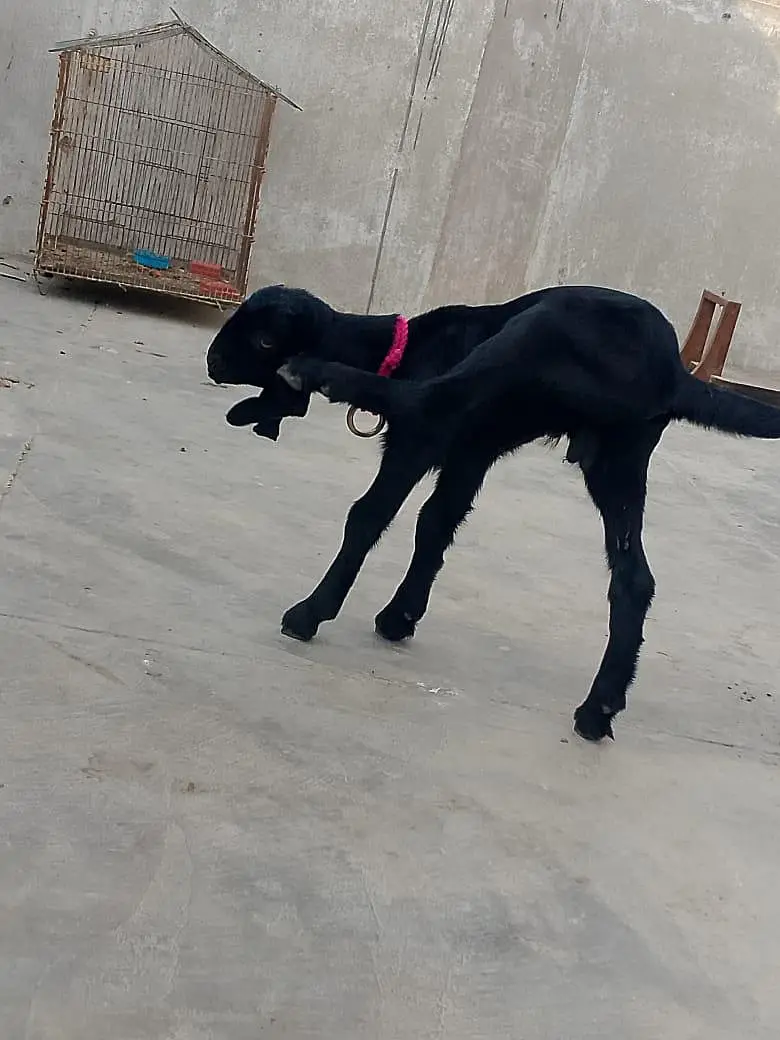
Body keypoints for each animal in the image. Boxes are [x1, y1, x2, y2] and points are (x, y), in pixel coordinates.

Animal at [207, 284, 780, 741]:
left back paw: (320, 373)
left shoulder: (420, 444)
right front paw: (400, 615)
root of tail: (673, 374)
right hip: (617, 458)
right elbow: (435, 524)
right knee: (634, 579)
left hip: (538, 332)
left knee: (426, 400)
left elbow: (370, 515)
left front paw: (313, 611)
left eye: (262, 340)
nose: (212, 362)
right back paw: (599, 708)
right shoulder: (470, 455)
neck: (406, 347)